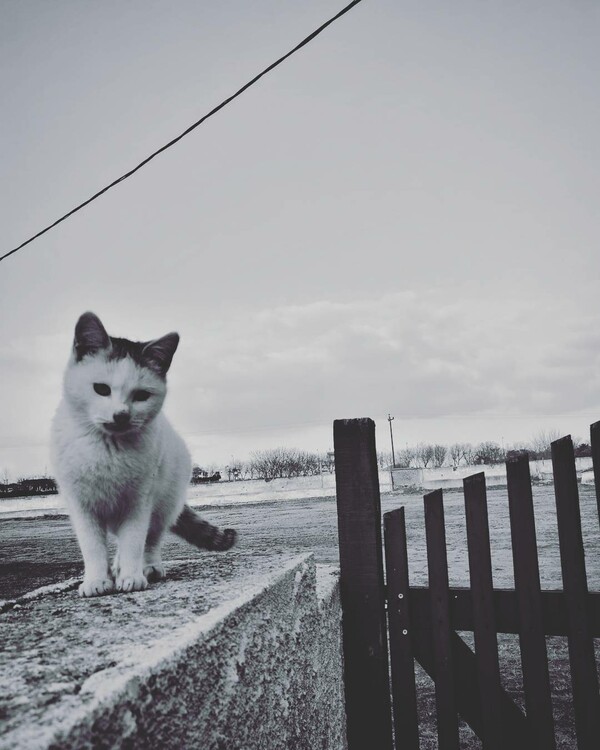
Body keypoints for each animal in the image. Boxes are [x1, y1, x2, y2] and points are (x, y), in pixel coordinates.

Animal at [49, 312, 237, 600]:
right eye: (101, 389)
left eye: (141, 395)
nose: (121, 415)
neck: (109, 448)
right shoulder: (82, 506)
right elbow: (93, 547)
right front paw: (96, 580)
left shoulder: (139, 502)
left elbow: (134, 541)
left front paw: (131, 576)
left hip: (164, 504)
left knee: (152, 538)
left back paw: (148, 567)